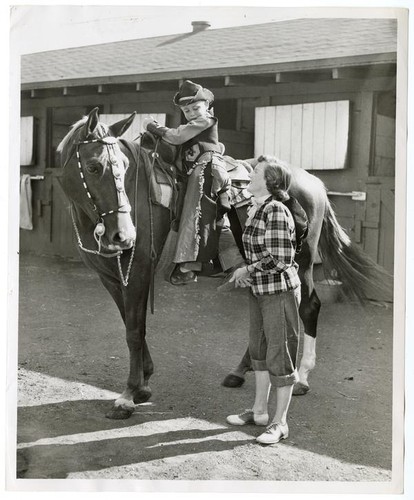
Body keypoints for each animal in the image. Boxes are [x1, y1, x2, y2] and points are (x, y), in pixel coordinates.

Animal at [57, 107, 172, 420]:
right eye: (94, 167)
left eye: (125, 165)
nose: (125, 235)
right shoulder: (111, 277)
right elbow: (131, 324)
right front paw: (143, 383)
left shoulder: (139, 272)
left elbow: (134, 331)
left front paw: (129, 394)